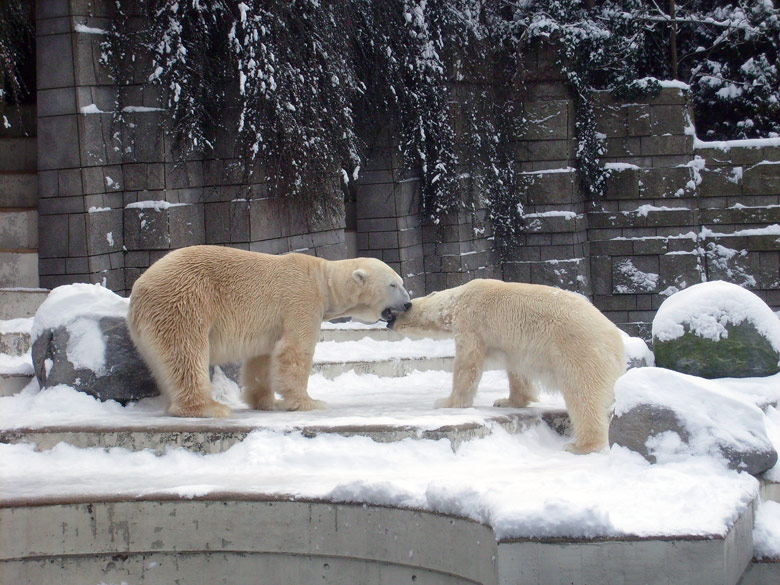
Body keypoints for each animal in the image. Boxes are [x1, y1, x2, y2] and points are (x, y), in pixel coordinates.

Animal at [126, 244, 414, 418]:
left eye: (401, 282)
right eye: (393, 284)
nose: (408, 303)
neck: (323, 281)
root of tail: (139, 290)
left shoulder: (270, 324)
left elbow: (262, 358)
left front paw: (268, 402)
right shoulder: (302, 300)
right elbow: (295, 350)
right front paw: (309, 402)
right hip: (184, 302)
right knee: (186, 352)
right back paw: (208, 407)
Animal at [390, 280, 628, 454]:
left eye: (400, 310)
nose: (389, 320)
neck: (459, 299)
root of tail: (617, 345)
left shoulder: (472, 322)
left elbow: (468, 363)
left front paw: (447, 402)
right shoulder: (515, 346)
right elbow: (518, 370)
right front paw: (506, 401)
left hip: (579, 352)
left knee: (582, 396)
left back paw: (581, 445)